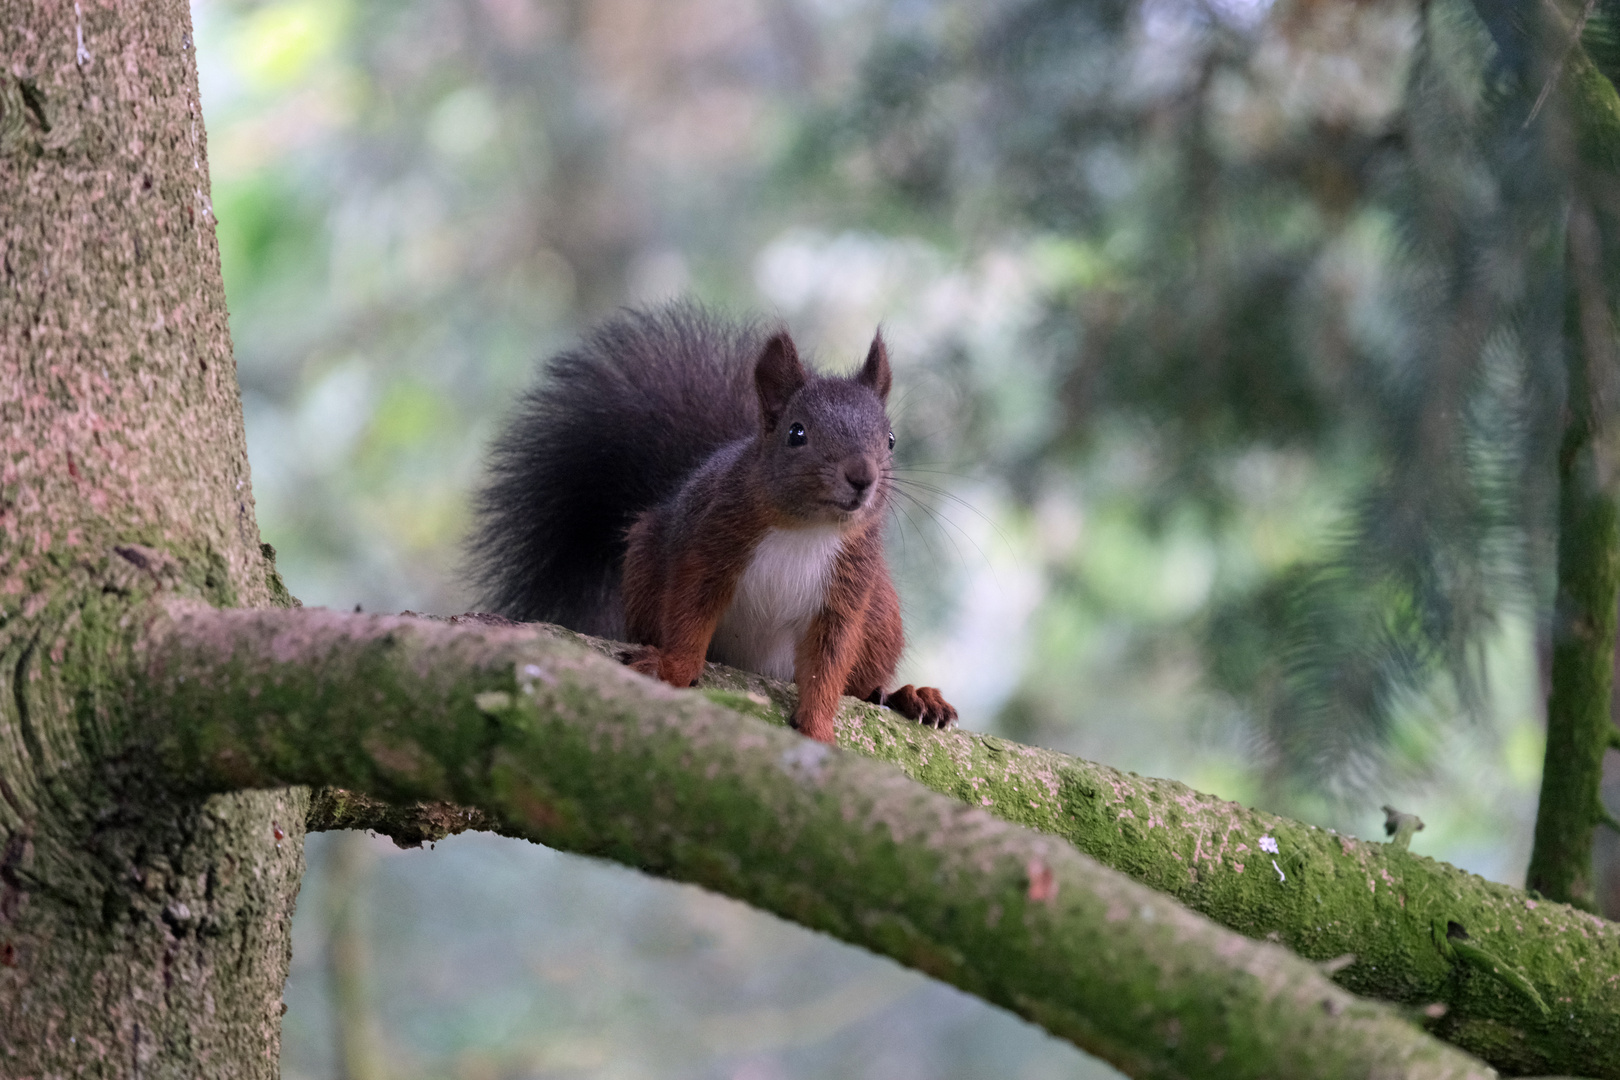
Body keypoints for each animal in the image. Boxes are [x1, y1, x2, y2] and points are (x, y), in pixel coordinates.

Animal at [463, 304, 952, 744]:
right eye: (797, 433)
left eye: (890, 440)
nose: (862, 477)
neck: (806, 528)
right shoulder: (709, 544)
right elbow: (690, 616)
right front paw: (672, 668)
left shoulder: (847, 590)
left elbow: (827, 667)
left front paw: (818, 728)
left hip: (881, 614)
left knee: (863, 685)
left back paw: (912, 697)